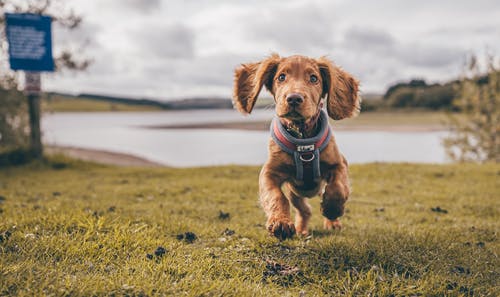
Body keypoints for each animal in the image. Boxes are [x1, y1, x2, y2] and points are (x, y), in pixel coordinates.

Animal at [232, 53, 358, 238]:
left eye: (313, 78)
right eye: (281, 77)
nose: (293, 99)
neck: (302, 137)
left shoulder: (339, 163)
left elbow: (338, 188)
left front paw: (332, 210)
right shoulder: (269, 173)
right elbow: (276, 196)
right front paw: (280, 222)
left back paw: (332, 223)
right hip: (295, 193)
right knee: (305, 210)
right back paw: (301, 229)